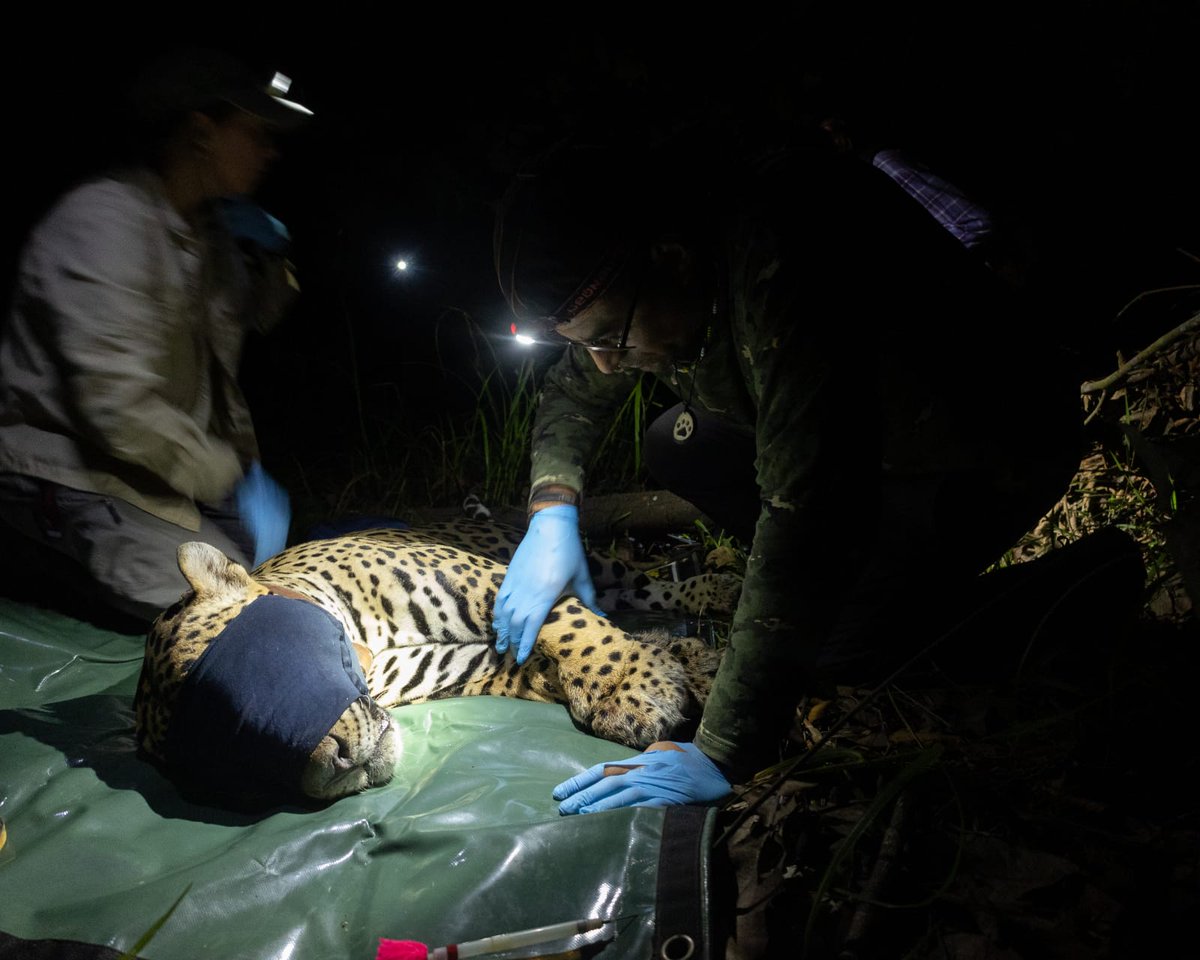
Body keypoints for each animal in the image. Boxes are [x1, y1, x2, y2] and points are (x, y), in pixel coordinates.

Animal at [134, 516, 739, 804]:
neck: (370, 650)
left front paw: (630, 685)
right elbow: (535, 670)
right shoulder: (450, 665)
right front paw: (675, 666)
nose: (333, 768)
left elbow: (567, 621)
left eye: (270, 668)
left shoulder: (481, 578)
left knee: (642, 584)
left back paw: (718, 583)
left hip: (592, 561)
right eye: (246, 768)